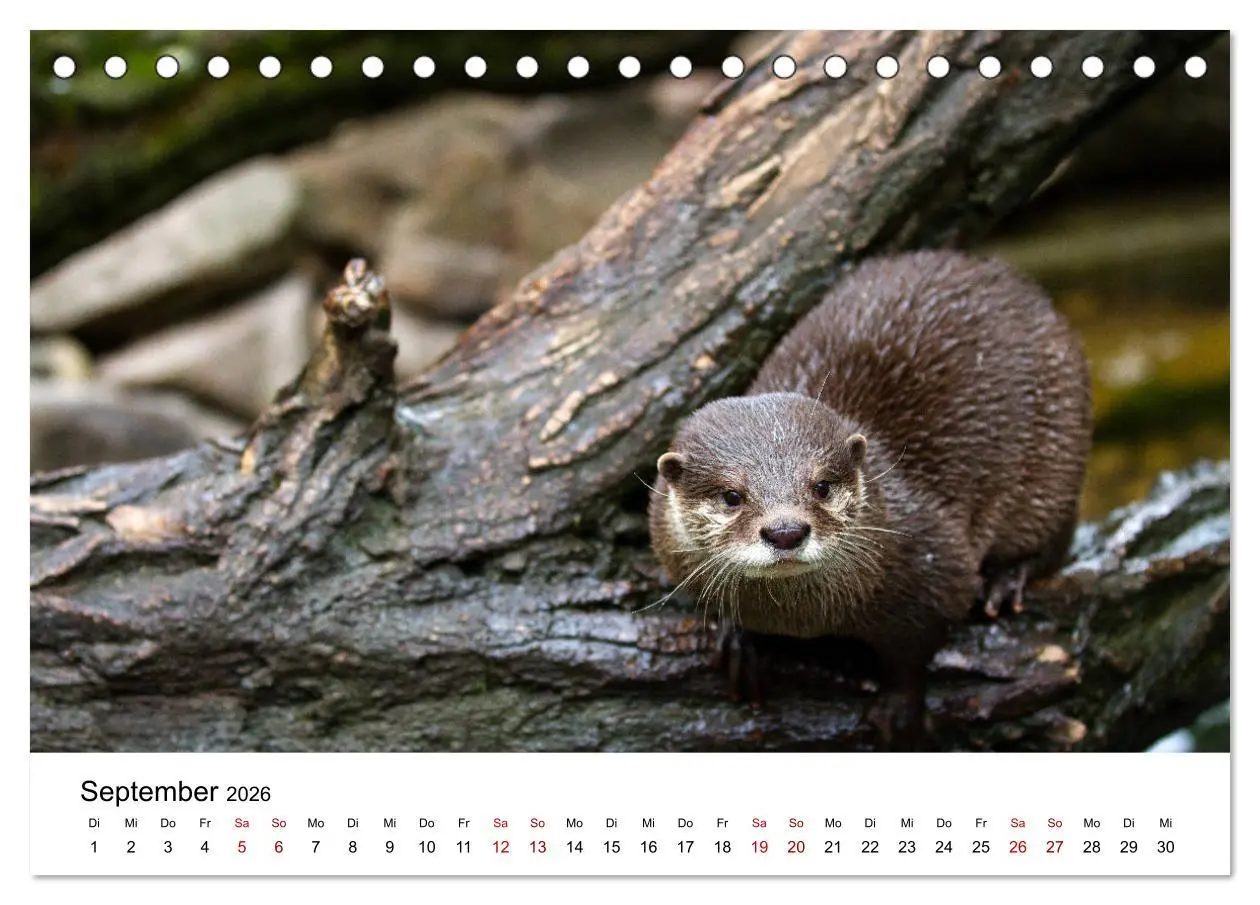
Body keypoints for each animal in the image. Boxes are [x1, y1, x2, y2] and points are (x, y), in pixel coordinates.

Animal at [647, 250, 1092, 749]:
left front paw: (900, 710)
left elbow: (915, 650)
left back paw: (1006, 579)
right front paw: (740, 642)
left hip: (1054, 455)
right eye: (731, 495)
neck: (801, 618)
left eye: (821, 485)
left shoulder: (935, 565)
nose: (786, 530)